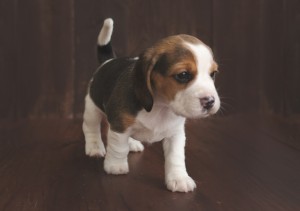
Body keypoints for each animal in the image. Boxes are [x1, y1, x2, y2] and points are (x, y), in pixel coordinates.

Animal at [82, 18, 220, 193]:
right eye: (183, 75)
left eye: (213, 74)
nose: (210, 101)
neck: (161, 107)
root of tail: (108, 61)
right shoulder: (119, 126)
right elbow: (118, 147)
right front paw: (115, 165)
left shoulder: (175, 134)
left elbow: (176, 157)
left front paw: (179, 178)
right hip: (92, 108)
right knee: (91, 128)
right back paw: (94, 147)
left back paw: (132, 143)